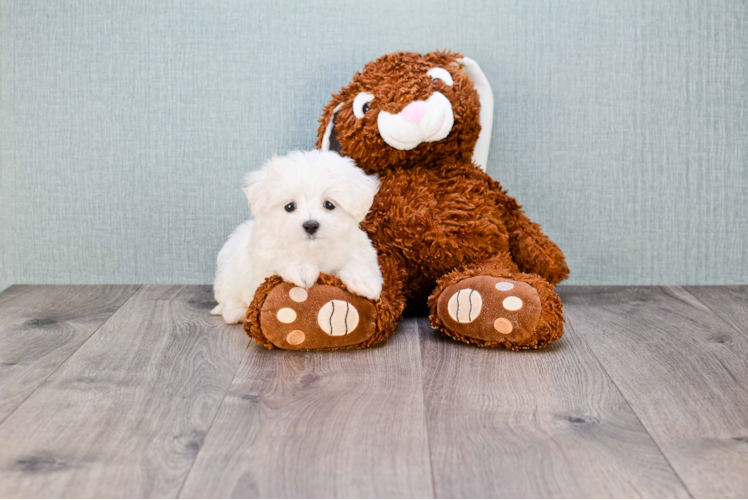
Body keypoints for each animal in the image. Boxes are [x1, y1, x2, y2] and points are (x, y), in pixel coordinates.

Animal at [212, 150, 382, 326]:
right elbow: (282, 257)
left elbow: (358, 261)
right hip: (229, 272)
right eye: (290, 206)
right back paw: (237, 311)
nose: (311, 225)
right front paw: (302, 269)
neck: (313, 249)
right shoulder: (264, 258)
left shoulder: (356, 248)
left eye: (329, 204)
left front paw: (363, 282)